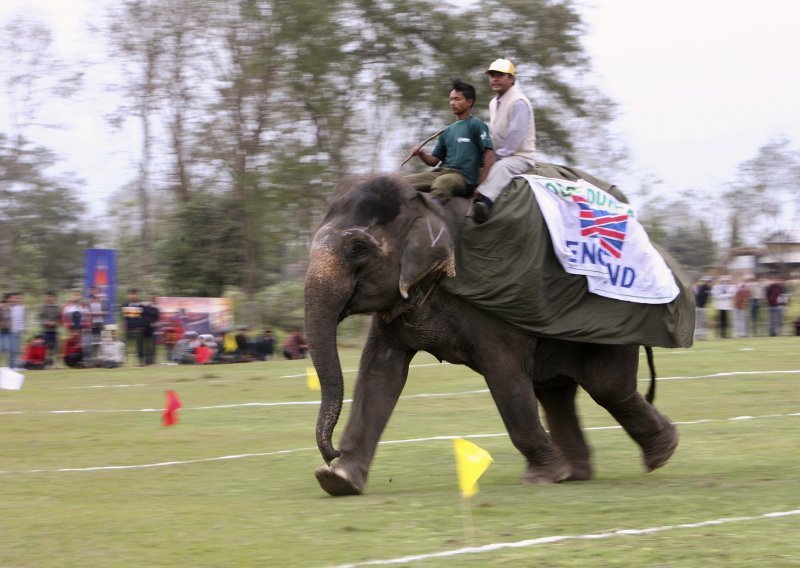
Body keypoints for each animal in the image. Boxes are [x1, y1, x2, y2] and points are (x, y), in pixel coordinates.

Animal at [304, 175, 680, 494]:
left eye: (358, 249)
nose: (331, 452)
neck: (425, 205)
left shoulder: (492, 310)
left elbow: (504, 373)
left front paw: (541, 477)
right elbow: (379, 373)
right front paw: (338, 480)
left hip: (613, 321)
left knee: (608, 387)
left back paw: (659, 454)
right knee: (557, 391)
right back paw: (579, 473)